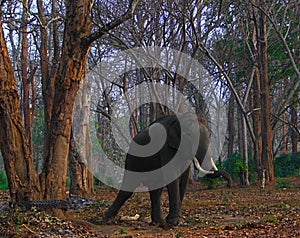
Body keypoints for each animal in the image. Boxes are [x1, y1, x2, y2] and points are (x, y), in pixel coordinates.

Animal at [104, 112, 233, 226]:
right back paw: (107, 219)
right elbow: (173, 175)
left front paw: (175, 221)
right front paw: (176, 222)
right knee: (128, 188)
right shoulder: (165, 147)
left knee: (156, 190)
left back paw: (158, 222)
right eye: (189, 135)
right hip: (133, 159)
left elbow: (184, 178)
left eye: (210, 135)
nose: (229, 185)